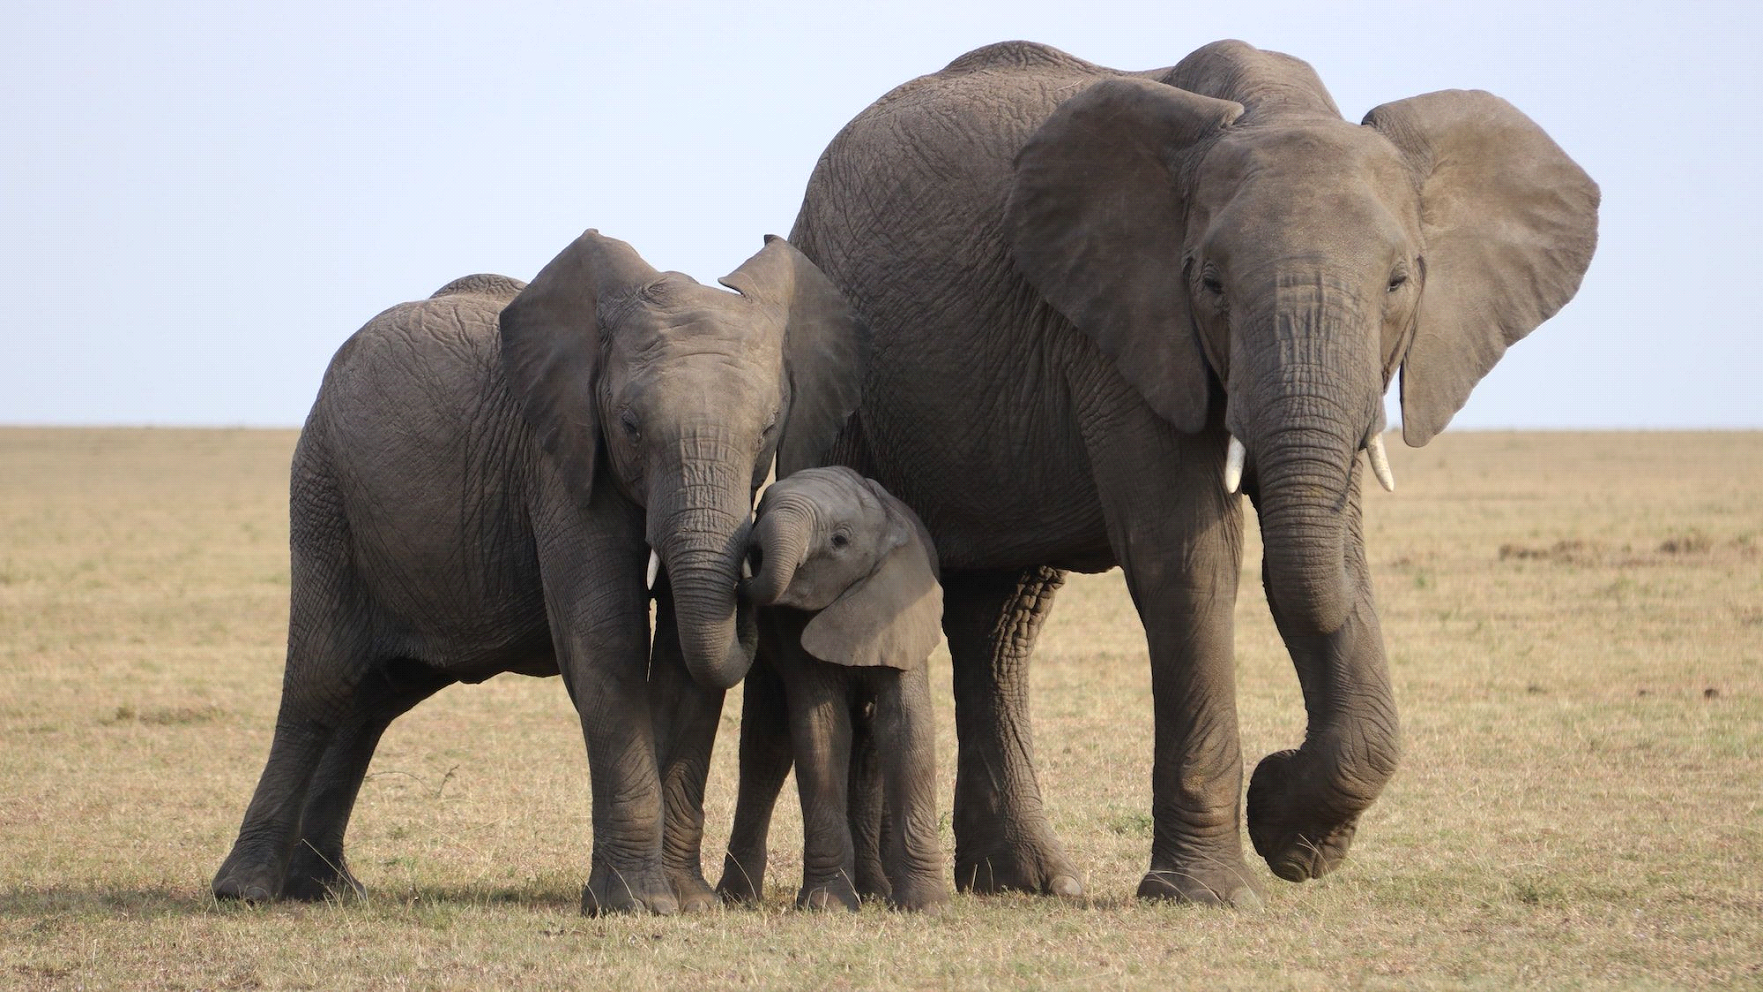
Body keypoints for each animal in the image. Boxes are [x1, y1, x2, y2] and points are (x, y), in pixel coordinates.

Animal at [211, 232, 867, 916]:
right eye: (630, 428)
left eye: (767, 430)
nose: (757, 562)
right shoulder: (558, 461)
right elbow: (607, 639)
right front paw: (637, 905)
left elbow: (684, 660)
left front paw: (689, 903)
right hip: (324, 493)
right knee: (322, 681)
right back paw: (246, 891)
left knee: (372, 699)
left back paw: (327, 890)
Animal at [712, 468, 952, 909]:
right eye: (761, 507)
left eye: (840, 540)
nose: (749, 555)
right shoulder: (791, 628)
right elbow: (821, 732)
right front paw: (827, 905)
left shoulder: (901, 608)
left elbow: (906, 728)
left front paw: (927, 906)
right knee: (765, 748)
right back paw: (737, 899)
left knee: (868, 752)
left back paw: (874, 891)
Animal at [793, 40, 1607, 909]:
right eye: (1210, 282)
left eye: (1399, 281)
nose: (1275, 774)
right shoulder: (1123, 328)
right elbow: (1190, 559)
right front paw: (1215, 888)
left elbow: (1330, 558)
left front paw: (1297, 839)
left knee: (1001, 621)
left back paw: (1029, 882)